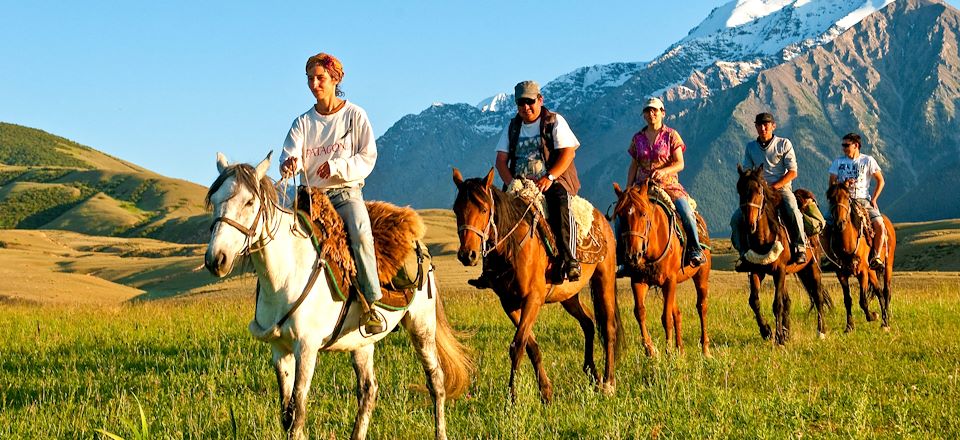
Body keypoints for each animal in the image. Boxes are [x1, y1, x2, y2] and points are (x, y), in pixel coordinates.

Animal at [204, 152, 474, 440]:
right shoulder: (280, 350)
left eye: (249, 201)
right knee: (368, 390)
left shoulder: (307, 347)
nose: (216, 259)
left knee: (436, 382)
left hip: (421, 326)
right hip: (362, 340)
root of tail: (420, 245)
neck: (285, 273)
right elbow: (287, 416)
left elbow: (298, 413)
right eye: (215, 200)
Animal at [452, 169, 624, 402]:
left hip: (603, 279)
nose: (467, 255)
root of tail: (602, 220)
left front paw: (512, 397)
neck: (511, 248)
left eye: (484, 209)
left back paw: (608, 383)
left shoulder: (532, 299)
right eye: (456, 210)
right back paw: (593, 376)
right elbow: (530, 346)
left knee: (608, 328)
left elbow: (517, 346)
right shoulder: (509, 303)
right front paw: (545, 392)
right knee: (588, 323)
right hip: (568, 295)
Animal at [612, 182, 708, 358]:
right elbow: (640, 312)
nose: (632, 255)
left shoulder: (669, 280)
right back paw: (680, 350)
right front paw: (650, 350)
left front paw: (668, 351)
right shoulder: (639, 281)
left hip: (701, 276)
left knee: (702, 307)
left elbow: (666, 317)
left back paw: (705, 350)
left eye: (643, 214)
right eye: (620, 216)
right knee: (677, 313)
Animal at [736, 165, 832, 344]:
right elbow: (754, 301)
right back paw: (787, 333)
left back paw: (820, 332)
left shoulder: (779, 270)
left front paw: (778, 337)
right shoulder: (755, 270)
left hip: (812, 267)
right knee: (789, 301)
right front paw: (766, 331)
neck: (764, 237)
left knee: (817, 297)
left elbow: (777, 304)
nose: (749, 224)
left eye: (759, 191)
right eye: (739, 190)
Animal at [820, 181, 896, 330]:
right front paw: (849, 326)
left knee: (886, 291)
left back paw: (886, 322)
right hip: (871, 270)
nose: (839, 223)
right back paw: (883, 318)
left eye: (847, 197)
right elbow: (847, 300)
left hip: (887, 265)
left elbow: (863, 300)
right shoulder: (841, 274)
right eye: (830, 198)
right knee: (878, 291)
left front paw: (872, 316)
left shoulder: (862, 272)